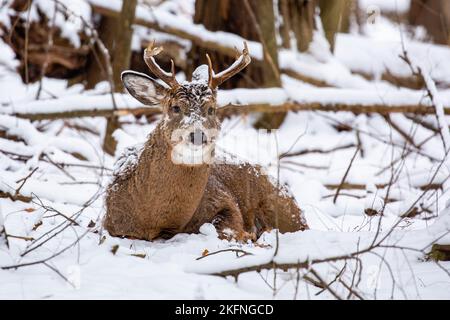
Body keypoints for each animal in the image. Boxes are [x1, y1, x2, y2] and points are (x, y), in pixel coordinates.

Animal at [104, 41, 310, 241]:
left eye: (211, 109)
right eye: (175, 107)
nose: (197, 135)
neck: (153, 220)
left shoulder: (224, 200)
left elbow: (225, 228)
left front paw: (248, 234)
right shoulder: (111, 224)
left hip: (284, 210)